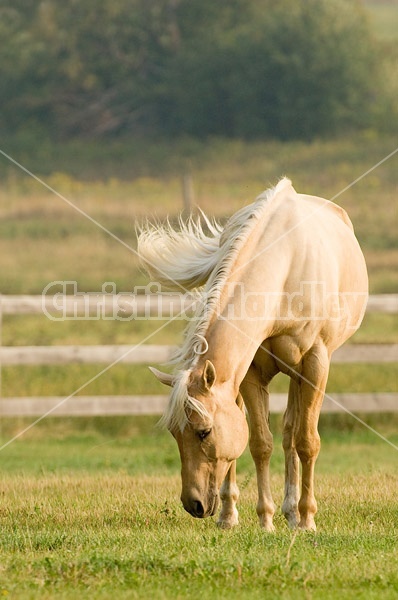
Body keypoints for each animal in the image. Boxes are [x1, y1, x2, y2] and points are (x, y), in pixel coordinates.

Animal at [138, 178, 368, 528]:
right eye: (174, 433)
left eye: (204, 432)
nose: (193, 504)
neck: (286, 267)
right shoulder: (250, 371)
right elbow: (260, 443)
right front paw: (265, 519)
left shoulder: (315, 364)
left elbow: (306, 441)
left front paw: (307, 519)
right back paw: (232, 514)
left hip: (298, 374)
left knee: (292, 434)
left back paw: (293, 513)